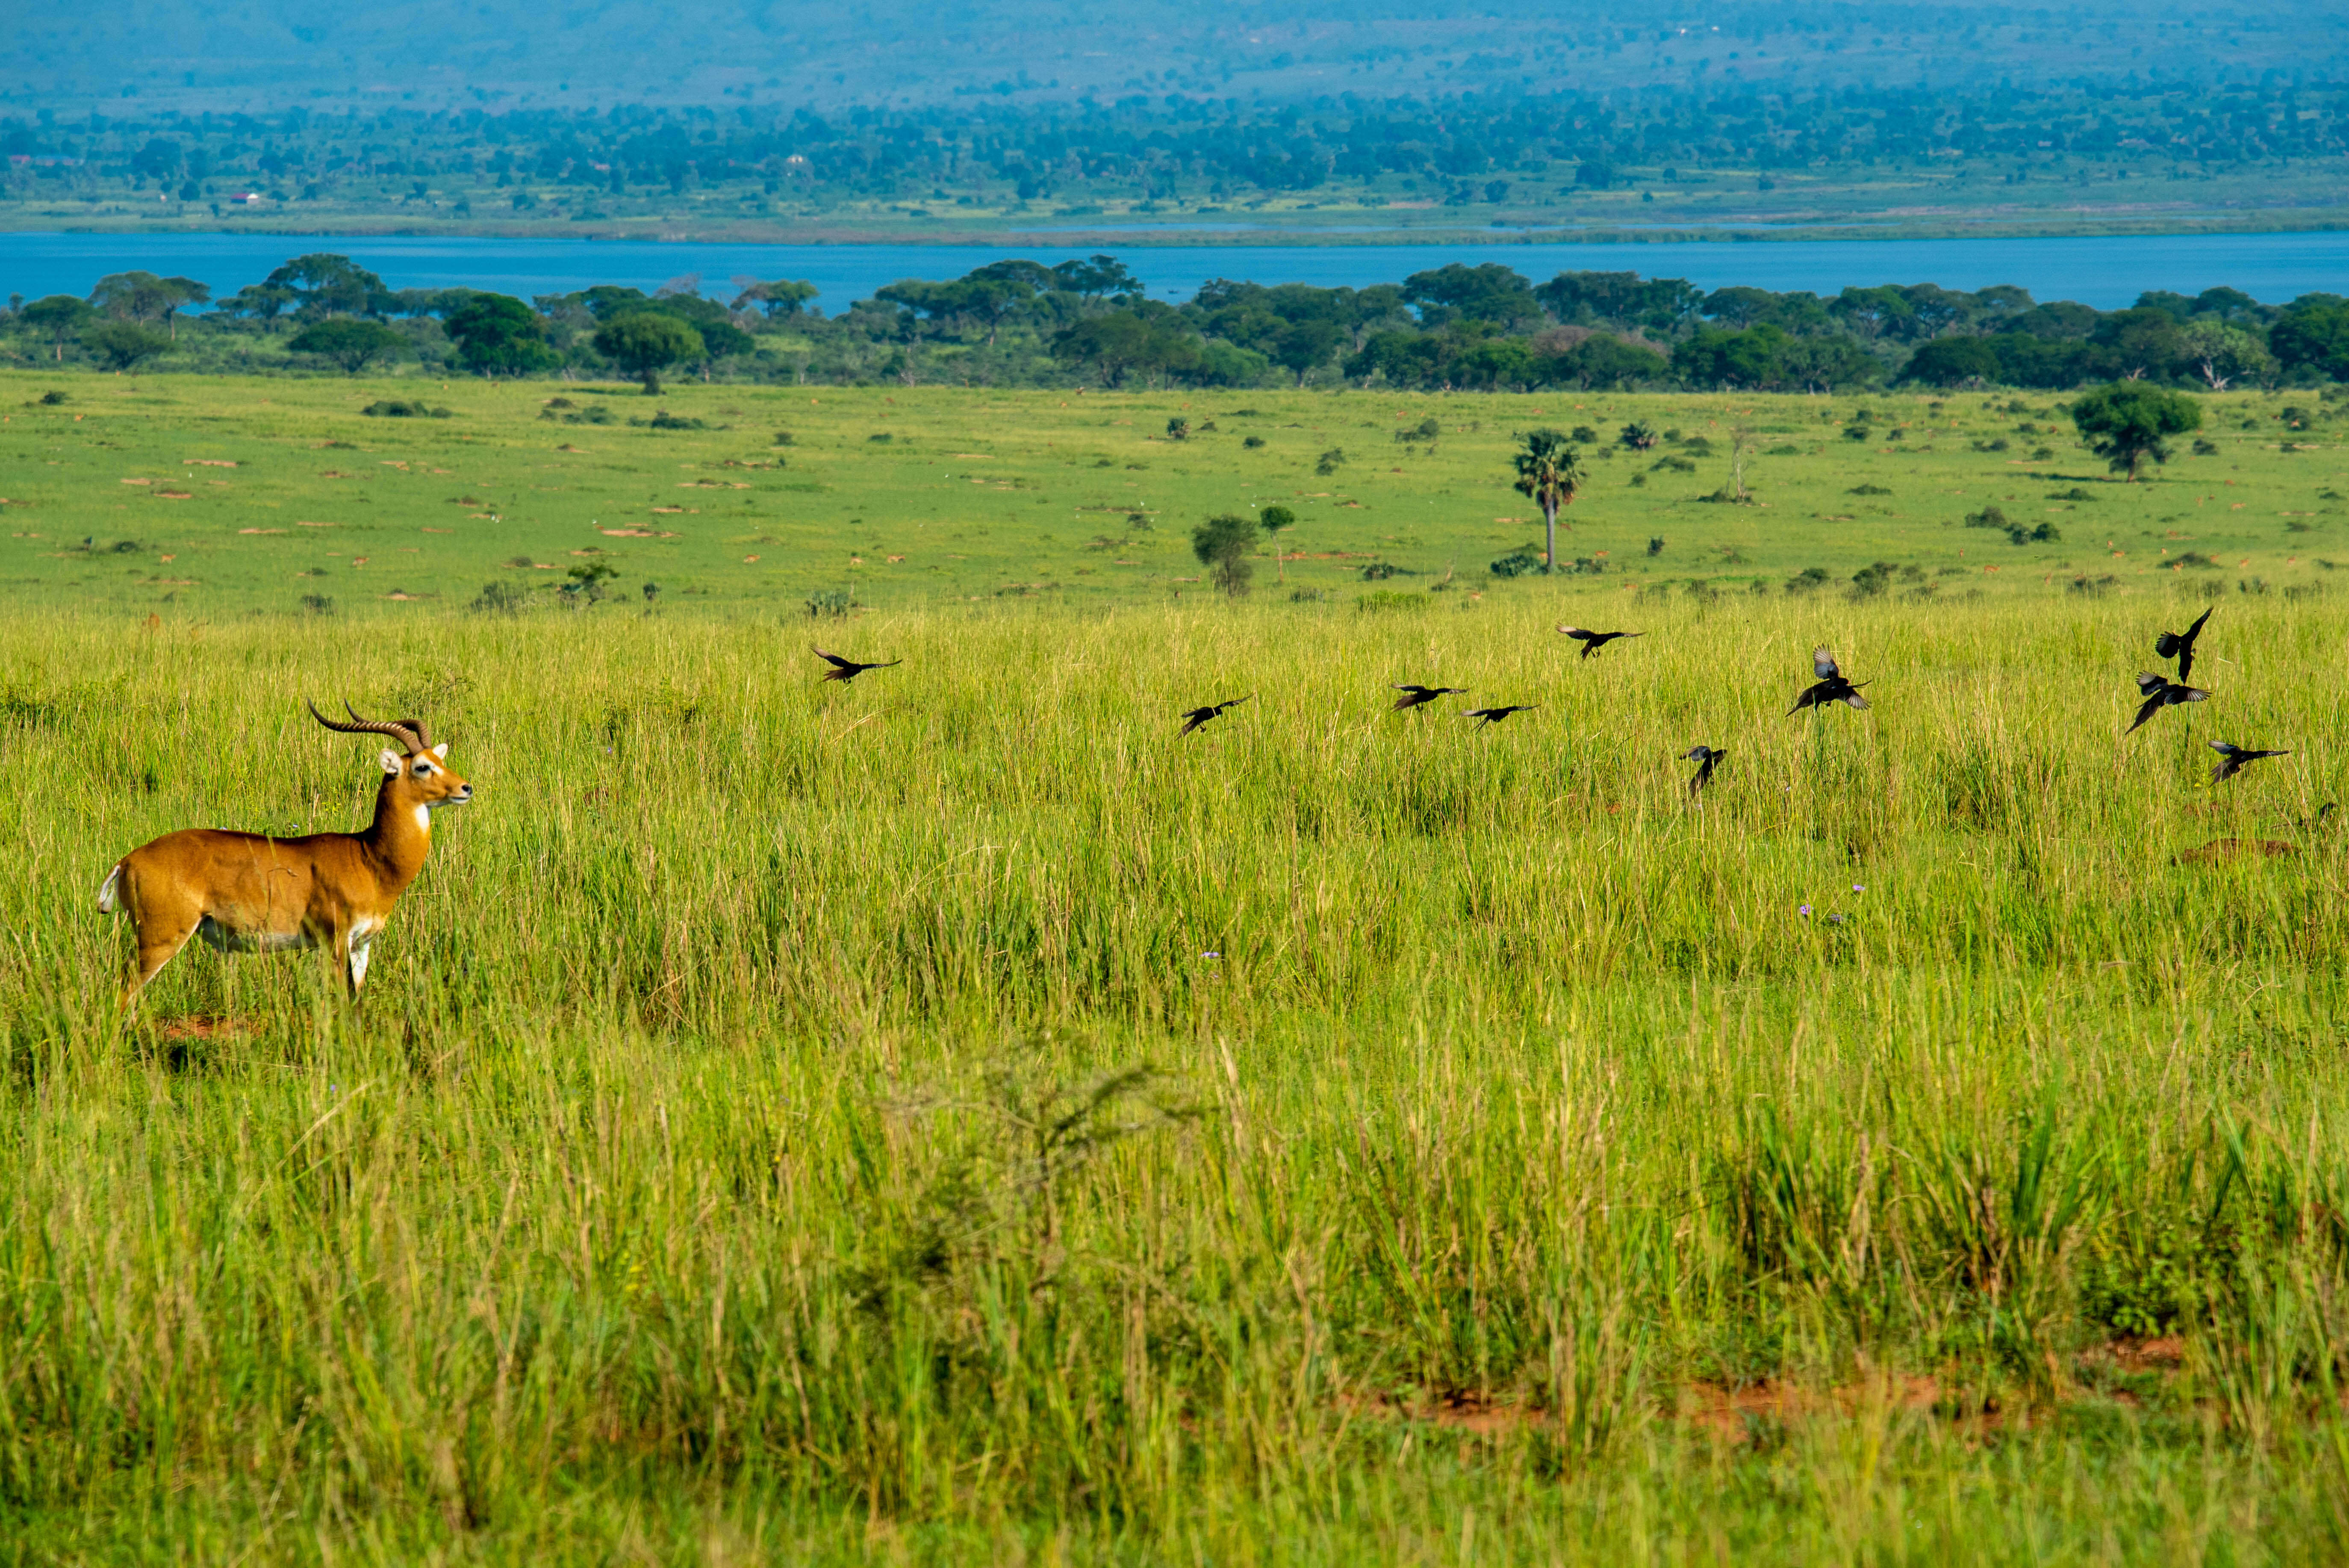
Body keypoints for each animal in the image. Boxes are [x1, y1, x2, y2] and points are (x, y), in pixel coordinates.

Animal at [98, 699, 470, 1000]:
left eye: (439, 760)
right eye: (422, 766)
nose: (466, 788)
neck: (368, 858)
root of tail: (127, 861)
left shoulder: (362, 945)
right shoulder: (334, 941)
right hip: (159, 940)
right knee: (121, 992)